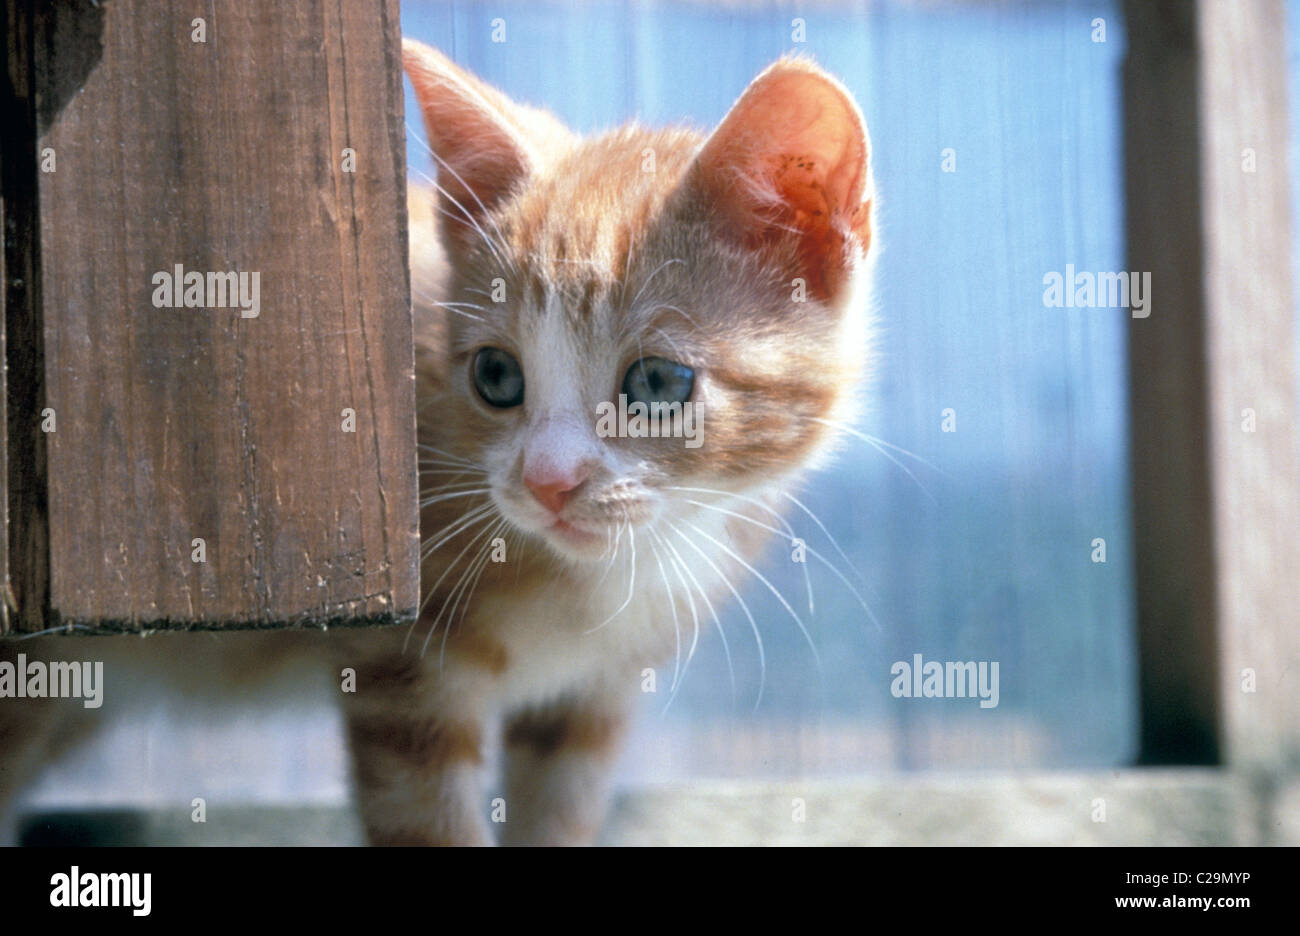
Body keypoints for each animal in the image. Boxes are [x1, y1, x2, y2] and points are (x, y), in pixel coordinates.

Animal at [0, 41, 878, 847]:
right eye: (496, 374)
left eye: (659, 384)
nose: (548, 481)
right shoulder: (403, 671)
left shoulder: (590, 697)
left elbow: (561, 807)